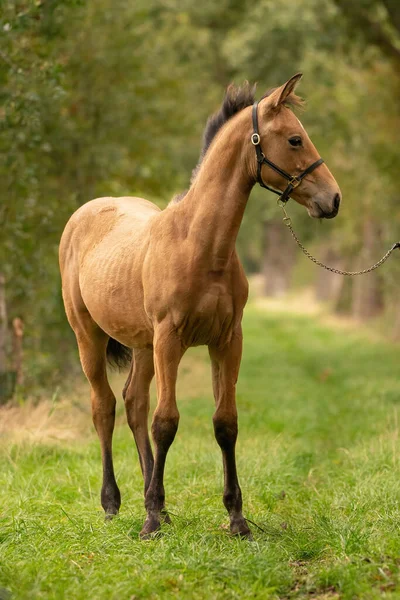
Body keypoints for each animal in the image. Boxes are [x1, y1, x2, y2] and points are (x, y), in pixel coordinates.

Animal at [59, 74, 340, 540]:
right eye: (295, 139)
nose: (333, 199)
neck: (200, 246)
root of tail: (84, 213)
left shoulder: (226, 340)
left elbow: (225, 422)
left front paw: (237, 519)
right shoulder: (170, 338)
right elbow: (166, 422)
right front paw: (151, 522)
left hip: (142, 344)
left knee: (133, 402)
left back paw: (154, 501)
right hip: (91, 337)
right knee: (105, 408)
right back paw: (114, 504)